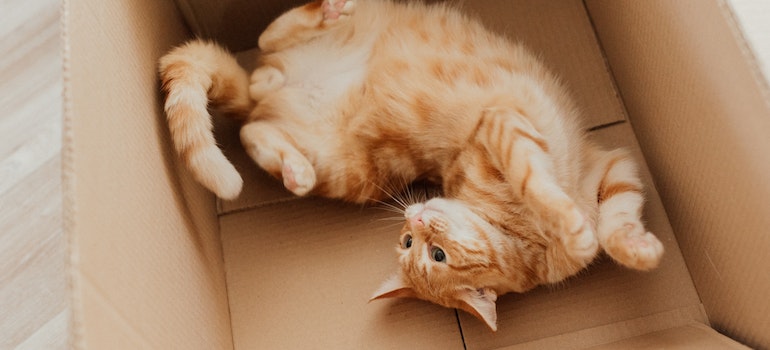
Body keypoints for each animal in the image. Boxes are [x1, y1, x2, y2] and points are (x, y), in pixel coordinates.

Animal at [156, 0, 660, 330]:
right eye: (410, 244)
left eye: (430, 252)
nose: (415, 217)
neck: (520, 237)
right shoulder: (501, 125)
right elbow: (539, 185)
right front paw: (574, 229)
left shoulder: (612, 167)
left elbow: (616, 224)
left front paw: (640, 250)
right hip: (352, 172)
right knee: (261, 66)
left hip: (341, 163)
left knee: (255, 109)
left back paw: (294, 165)